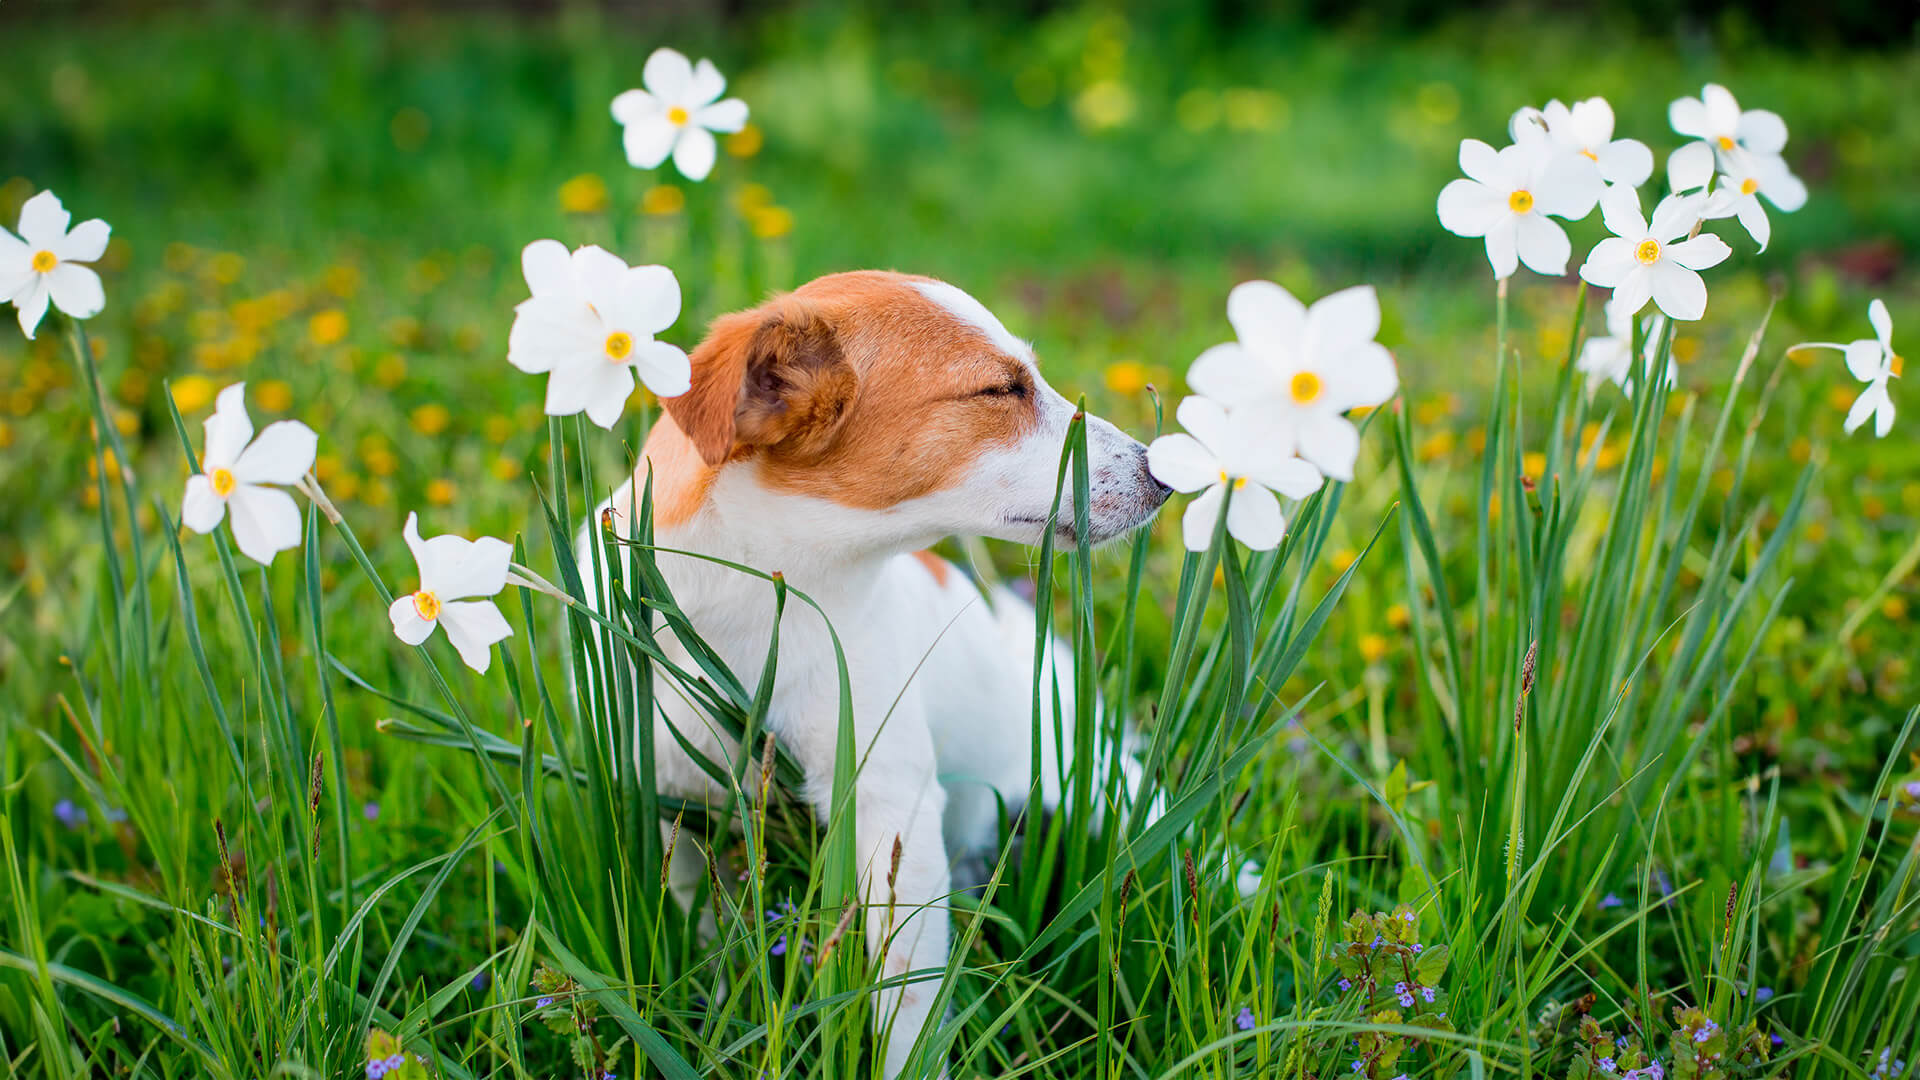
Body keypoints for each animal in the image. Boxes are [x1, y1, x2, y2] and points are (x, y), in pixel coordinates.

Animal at [576, 270, 1159, 1076]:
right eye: (1000, 389)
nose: (1164, 474)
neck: (757, 601)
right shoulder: (668, 799)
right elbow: (700, 936)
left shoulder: (891, 813)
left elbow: (904, 997)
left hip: (1102, 788)